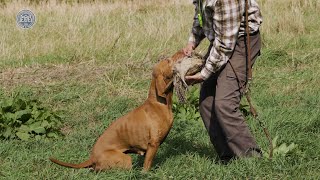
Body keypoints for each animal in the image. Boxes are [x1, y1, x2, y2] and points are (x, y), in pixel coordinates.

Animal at [48, 50, 186, 172]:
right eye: (168, 60)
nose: (183, 51)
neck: (159, 103)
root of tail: (92, 157)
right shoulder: (153, 144)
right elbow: (146, 165)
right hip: (126, 159)